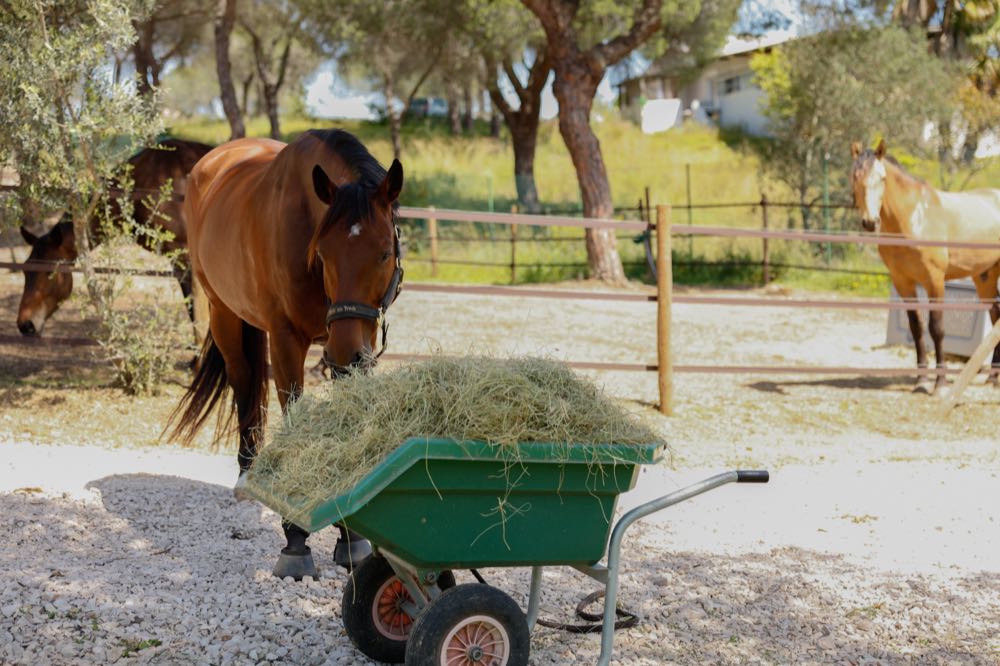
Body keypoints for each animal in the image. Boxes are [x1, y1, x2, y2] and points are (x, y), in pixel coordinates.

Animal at [166, 129, 404, 580]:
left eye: (384, 252)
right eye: (323, 253)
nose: (347, 352)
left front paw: (352, 536)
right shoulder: (287, 341)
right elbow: (292, 413)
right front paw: (296, 539)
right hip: (223, 313)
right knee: (244, 382)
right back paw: (247, 477)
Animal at [850, 139, 1000, 393]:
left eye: (882, 178)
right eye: (855, 176)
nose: (870, 222)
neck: (914, 217)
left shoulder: (935, 281)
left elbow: (936, 329)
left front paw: (939, 383)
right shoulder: (903, 282)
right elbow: (917, 328)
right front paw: (921, 381)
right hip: (985, 277)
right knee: (996, 316)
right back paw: (993, 377)